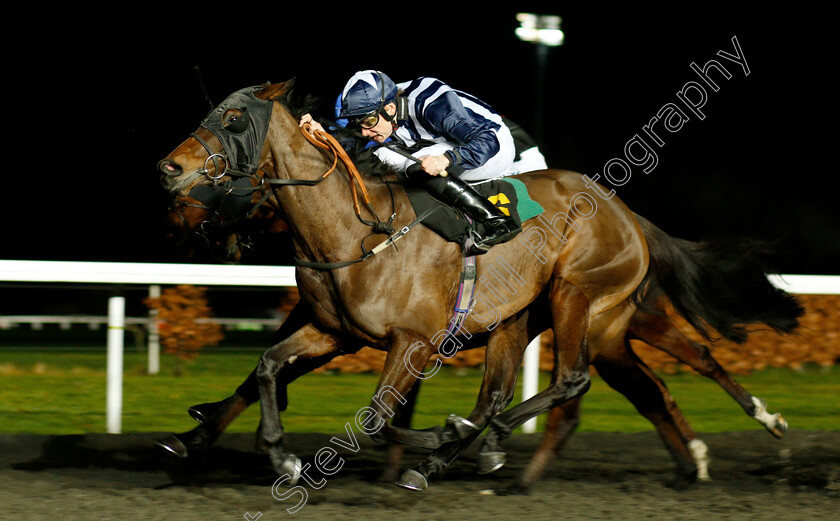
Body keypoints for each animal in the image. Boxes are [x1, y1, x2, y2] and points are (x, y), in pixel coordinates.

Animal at [154, 79, 804, 490]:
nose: (170, 169)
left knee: (578, 380)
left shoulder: (412, 342)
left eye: (233, 119)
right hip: (532, 319)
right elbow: (266, 368)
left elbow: (380, 418)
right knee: (557, 391)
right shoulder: (332, 331)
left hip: (578, 299)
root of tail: (629, 214)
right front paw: (266, 451)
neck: (354, 234)